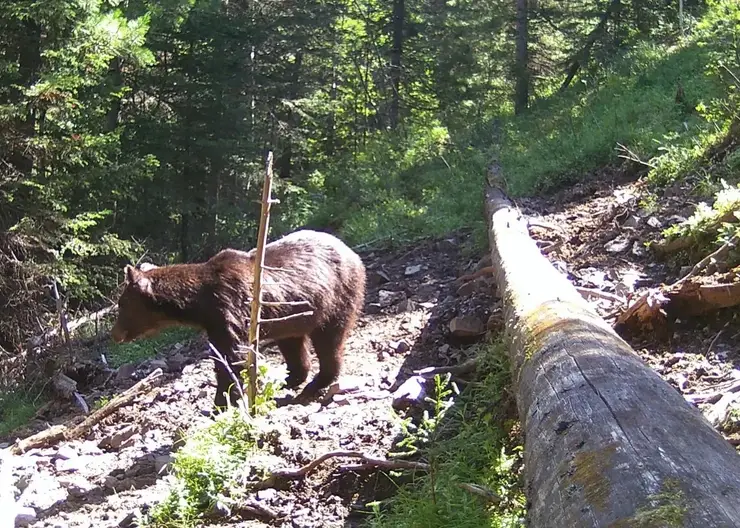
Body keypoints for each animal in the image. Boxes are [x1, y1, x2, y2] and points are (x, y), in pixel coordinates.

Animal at [110, 229, 367, 411]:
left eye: (121, 304)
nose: (115, 334)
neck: (200, 303)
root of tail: (355, 254)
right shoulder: (216, 322)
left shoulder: (230, 309)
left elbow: (232, 357)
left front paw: (220, 402)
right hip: (291, 314)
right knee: (293, 344)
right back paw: (288, 379)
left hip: (336, 297)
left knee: (329, 340)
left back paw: (315, 384)